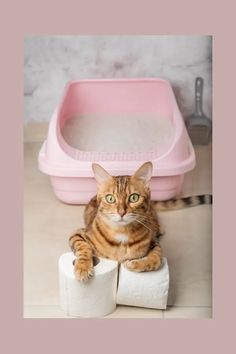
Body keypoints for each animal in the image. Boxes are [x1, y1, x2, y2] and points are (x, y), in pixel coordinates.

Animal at [68, 162, 212, 280]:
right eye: (110, 198)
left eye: (134, 197)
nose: (121, 212)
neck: (122, 233)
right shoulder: (79, 233)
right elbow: (83, 247)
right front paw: (83, 267)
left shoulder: (153, 242)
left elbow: (157, 258)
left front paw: (134, 264)